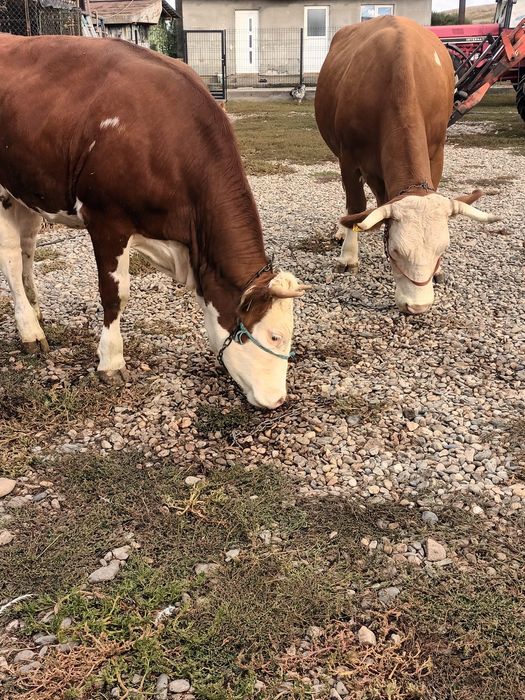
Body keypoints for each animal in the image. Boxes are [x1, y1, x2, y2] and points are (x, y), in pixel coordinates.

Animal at [0, 34, 308, 410]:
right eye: (274, 335)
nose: (278, 400)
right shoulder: (106, 219)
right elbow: (115, 295)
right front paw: (111, 363)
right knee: (11, 257)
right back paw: (30, 332)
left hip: (26, 187)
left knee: (26, 248)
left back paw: (35, 312)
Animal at [315, 16, 499, 314]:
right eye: (396, 251)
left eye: (442, 250)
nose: (418, 306)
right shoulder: (348, 157)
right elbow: (355, 203)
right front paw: (349, 256)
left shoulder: (436, 149)